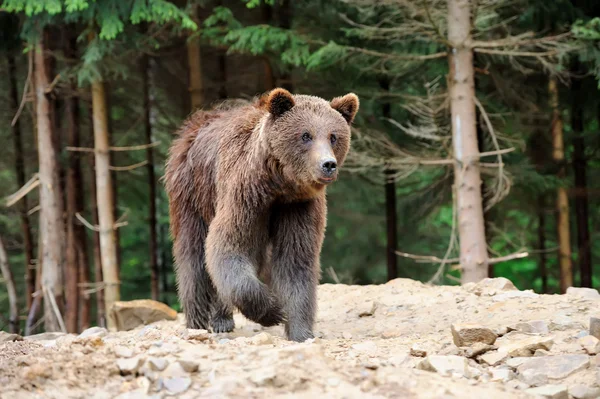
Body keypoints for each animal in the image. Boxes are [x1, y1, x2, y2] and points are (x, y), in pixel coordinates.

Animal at [164, 89, 358, 342]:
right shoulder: (244, 195)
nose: (328, 164)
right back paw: (198, 322)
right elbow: (227, 247)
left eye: (333, 136)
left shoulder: (297, 207)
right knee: (193, 256)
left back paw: (222, 319)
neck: (278, 186)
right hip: (191, 193)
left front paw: (300, 332)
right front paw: (274, 310)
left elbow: (296, 262)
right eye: (306, 135)